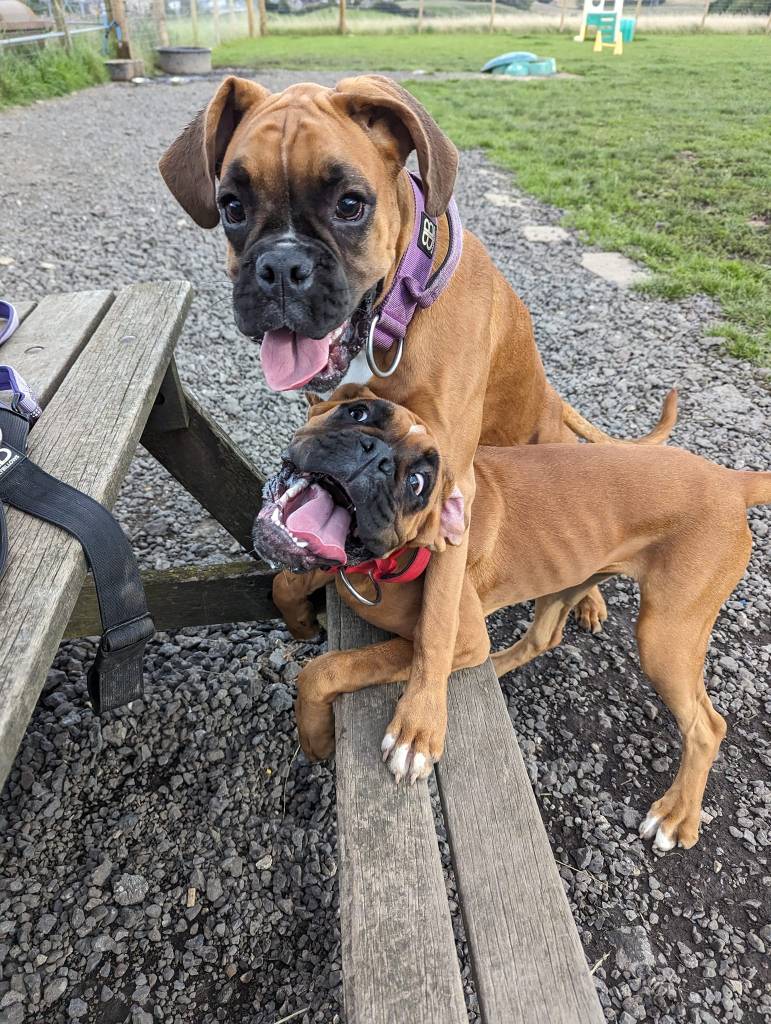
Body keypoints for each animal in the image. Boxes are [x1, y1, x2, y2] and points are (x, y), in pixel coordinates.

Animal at [159, 74, 676, 737]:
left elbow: (436, 620)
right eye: (231, 209)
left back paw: (588, 598)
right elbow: (293, 569)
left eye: (350, 205)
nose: (281, 267)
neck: (393, 311)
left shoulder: (455, 484)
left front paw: (420, 721)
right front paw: (302, 617)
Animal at [256, 387, 770, 852]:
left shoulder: (460, 638)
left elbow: (327, 668)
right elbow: (284, 582)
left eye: (418, 483)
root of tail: (730, 481)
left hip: (665, 638)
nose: (375, 455)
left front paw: (317, 738)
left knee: (707, 727)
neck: (381, 564)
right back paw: (498, 667)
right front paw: (302, 622)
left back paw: (676, 815)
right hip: (569, 577)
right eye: (357, 412)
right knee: (544, 636)